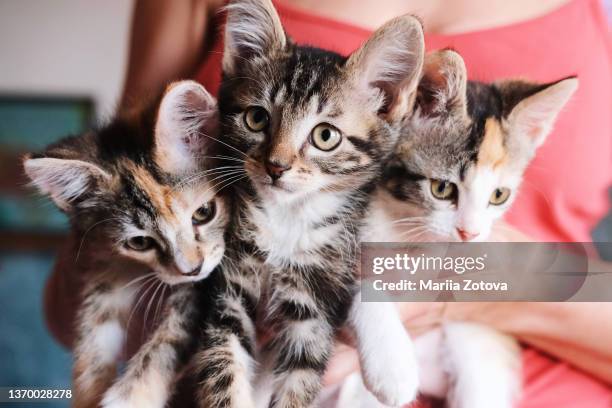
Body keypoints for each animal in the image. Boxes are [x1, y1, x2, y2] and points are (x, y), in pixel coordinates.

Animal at [23, 80, 230, 408]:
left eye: (204, 213)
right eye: (140, 242)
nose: (191, 269)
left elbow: (175, 331)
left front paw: (131, 395)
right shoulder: (103, 256)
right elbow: (95, 324)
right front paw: (88, 390)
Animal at [191, 0, 426, 408]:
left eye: (325, 136)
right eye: (257, 118)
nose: (276, 167)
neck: (289, 218)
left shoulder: (315, 304)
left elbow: (299, 380)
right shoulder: (229, 287)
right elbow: (223, 366)